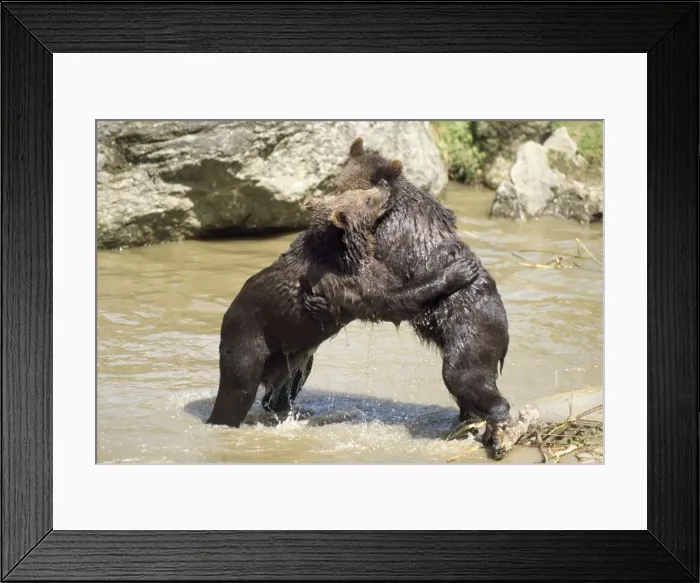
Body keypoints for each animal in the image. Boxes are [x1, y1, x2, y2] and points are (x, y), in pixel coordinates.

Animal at [205, 185, 480, 428]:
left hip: (291, 355)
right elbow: (389, 302)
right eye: (366, 199)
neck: (343, 252)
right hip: (248, 338)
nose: (386, 188)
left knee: (287, 385)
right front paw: (460, 269)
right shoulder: (344, 280)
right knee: (237, 390)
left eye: (361, 191)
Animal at [304, 137, 513, 459]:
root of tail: (505, 333)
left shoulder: (389, 243)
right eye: (336, 184)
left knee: (463, 375)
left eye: (349, 191)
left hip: (472, 330)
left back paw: (497, 433)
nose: (327, 207)